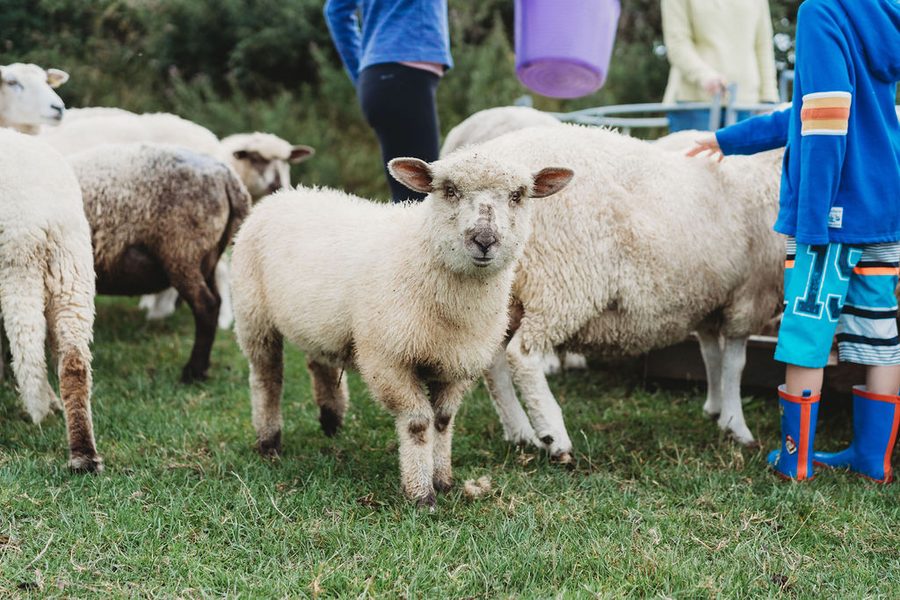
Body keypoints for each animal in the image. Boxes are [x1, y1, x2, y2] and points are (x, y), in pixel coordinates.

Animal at [68, 143, 251, 382]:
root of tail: (228, 178)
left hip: (182, 250)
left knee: (206, 306)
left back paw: (192, 372)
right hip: (207, 256)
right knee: (216, 301)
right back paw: (202, 368)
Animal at [230, 152, 573, 506]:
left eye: (518, 195)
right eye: (449, 190)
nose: (484, 240)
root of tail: (284, 195)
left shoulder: (458, 362)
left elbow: (443, 421)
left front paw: (443, 480)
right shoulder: (387, 360)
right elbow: (418, 424)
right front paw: (421, 493)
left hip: (318, 323)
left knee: (319, 362)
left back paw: (331, 421)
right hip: (253, 315)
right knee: (266, 378)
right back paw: (269, 443)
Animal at [465, 124, 784, 459]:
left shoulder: (711, 299)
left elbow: (711, 355)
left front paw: (715, 407)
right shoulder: (751, 294)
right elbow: (735, 364)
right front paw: (736, 425)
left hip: (508, 294)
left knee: (494, 363)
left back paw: (520, 432)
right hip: (562, 282)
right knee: (523, 356)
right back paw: (555, 436)